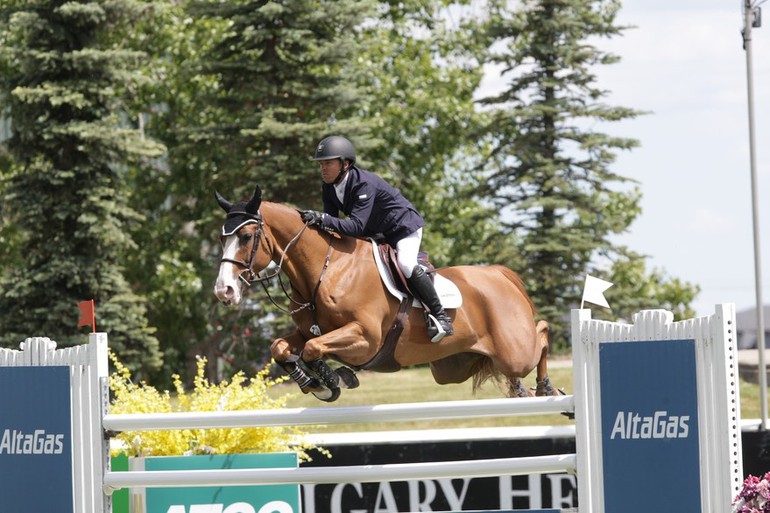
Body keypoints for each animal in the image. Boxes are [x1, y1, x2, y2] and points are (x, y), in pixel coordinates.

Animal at [212, 186, 560, 402]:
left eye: (246, 236)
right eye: (221, 237)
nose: (223, 290)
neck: (327, 270)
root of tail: (500, 274)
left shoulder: (364, 338)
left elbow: (313, 348)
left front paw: (332, 380)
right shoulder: (308, 331)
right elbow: (281, 347)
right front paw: (313, 382)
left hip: (514, 351)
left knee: (541, 334)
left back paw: (545, 389)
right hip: (454, 367)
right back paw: (524, 391)